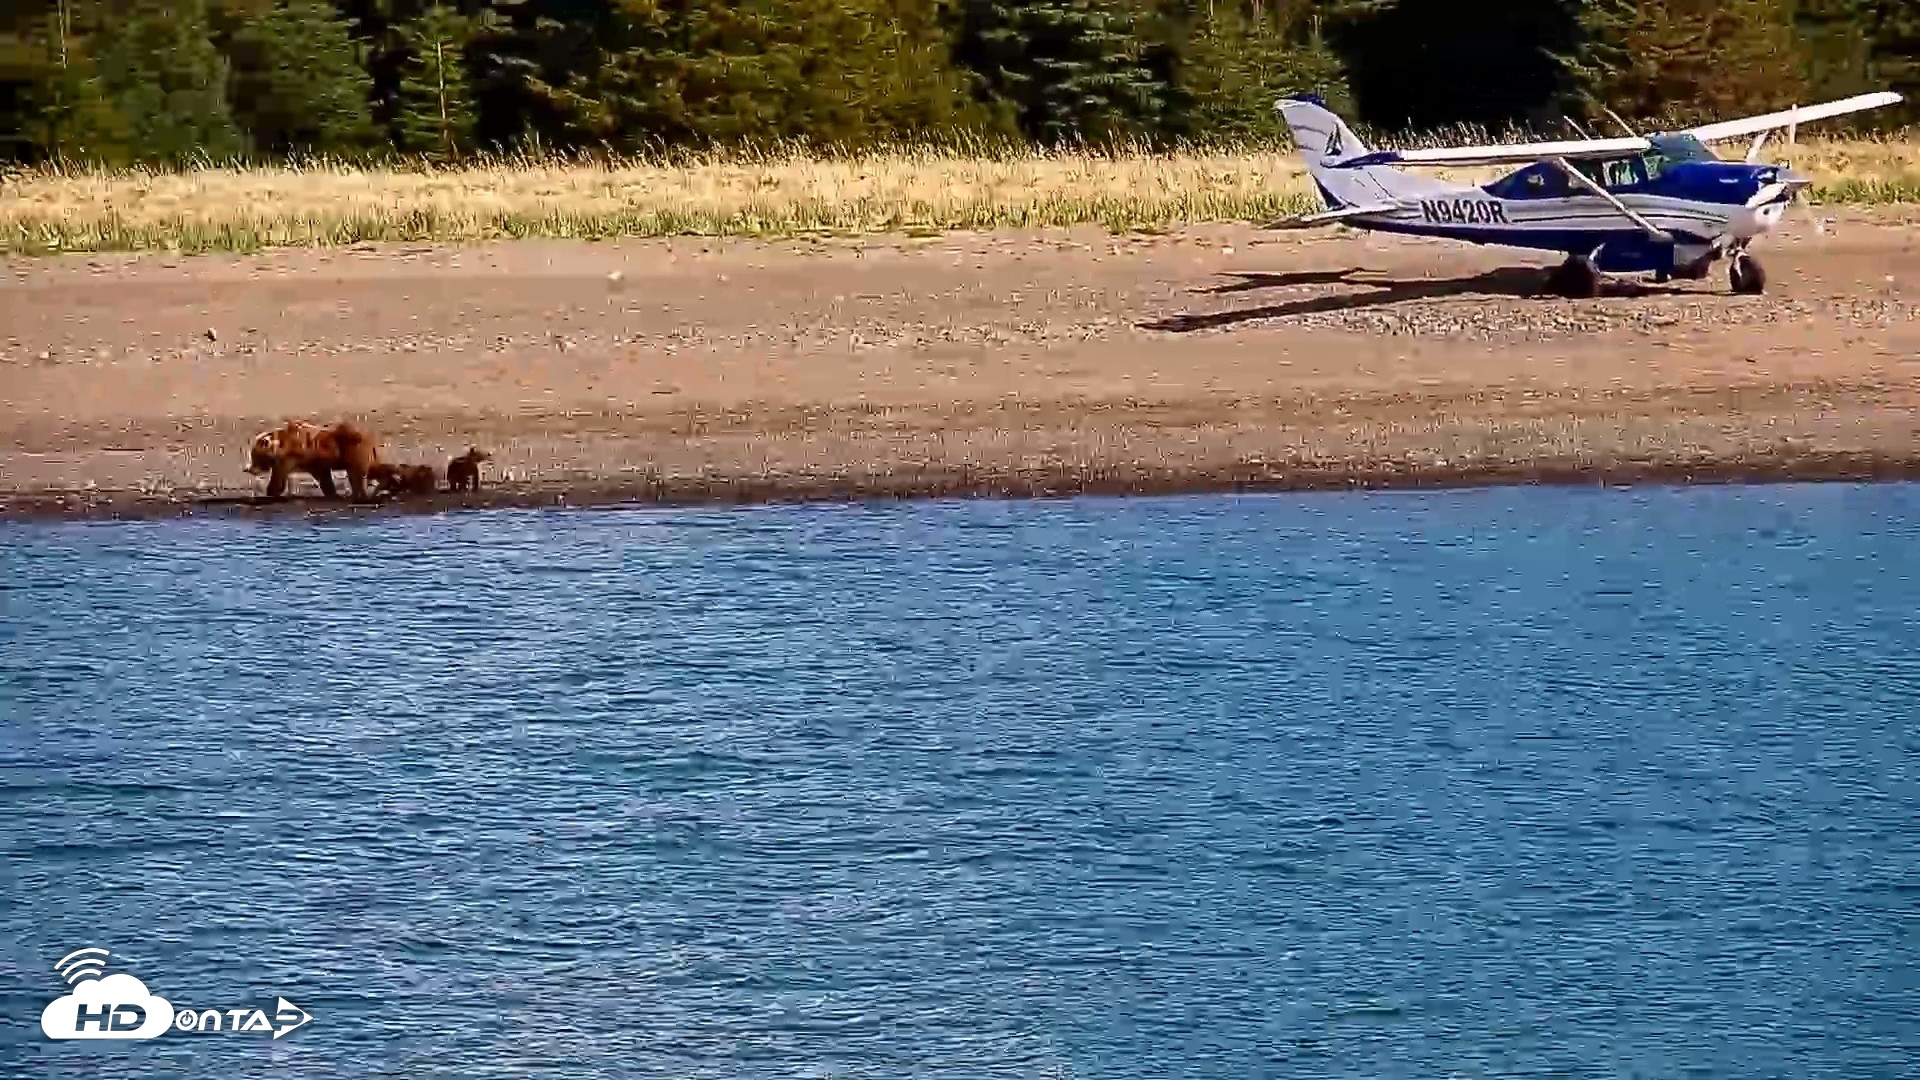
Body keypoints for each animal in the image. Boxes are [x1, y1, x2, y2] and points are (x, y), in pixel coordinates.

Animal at [245, 419, 380, 501]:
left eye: (254, 456)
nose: (249, 469)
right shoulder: (313, 462)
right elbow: (324, 478)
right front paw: (332, 493)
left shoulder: (290, 458)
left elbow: (278, 477)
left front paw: (271, 492)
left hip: (354, 450)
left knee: (357, 475)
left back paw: (360, 495)